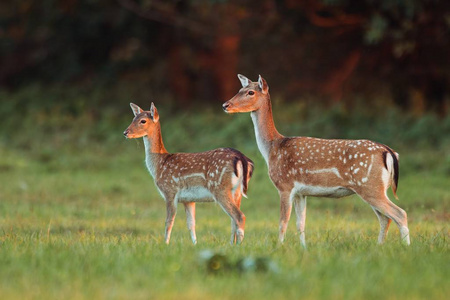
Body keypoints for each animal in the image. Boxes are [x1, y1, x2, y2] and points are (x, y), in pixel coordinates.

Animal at [123, 102, 253, 244]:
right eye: (133, 118)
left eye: (143, 121)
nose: (125, 132)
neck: (159, 165)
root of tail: (241, 158)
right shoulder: (188, 199)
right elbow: (191, 224)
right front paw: (195, 244)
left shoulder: (170, 191)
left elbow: (169, 222)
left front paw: (165, 244)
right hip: (237, 191)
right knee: (233, 219)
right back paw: (231, 245)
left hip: (220, 187)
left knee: (239, 216)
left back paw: (239, 245)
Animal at [222, 74, 412, 246]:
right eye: (240, 89)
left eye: (250, 92)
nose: (225, 105)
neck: (272, 148)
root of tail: (389, 152)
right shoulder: (301, 192)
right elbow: (300, 223)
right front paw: (303, 248)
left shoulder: (284, 185)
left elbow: (283, 222)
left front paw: (279, 247)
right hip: (374, 187)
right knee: (385, 218)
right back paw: (380, 246)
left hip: (370, 186)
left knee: (400, 214)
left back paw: (406, 247)